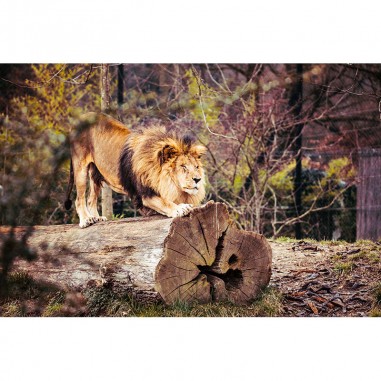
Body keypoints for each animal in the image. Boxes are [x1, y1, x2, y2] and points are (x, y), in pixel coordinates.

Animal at [64, 111, 206, 227]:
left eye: (196, 167)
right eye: (183, 166)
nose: (198, 179)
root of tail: (78, 119)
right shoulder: (145, 195)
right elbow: (164, 202)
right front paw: (179, 208)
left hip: (95, 174)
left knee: (91, 198)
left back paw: (96, 218)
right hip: (80, 168)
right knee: (79, 199)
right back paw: (86, 220)